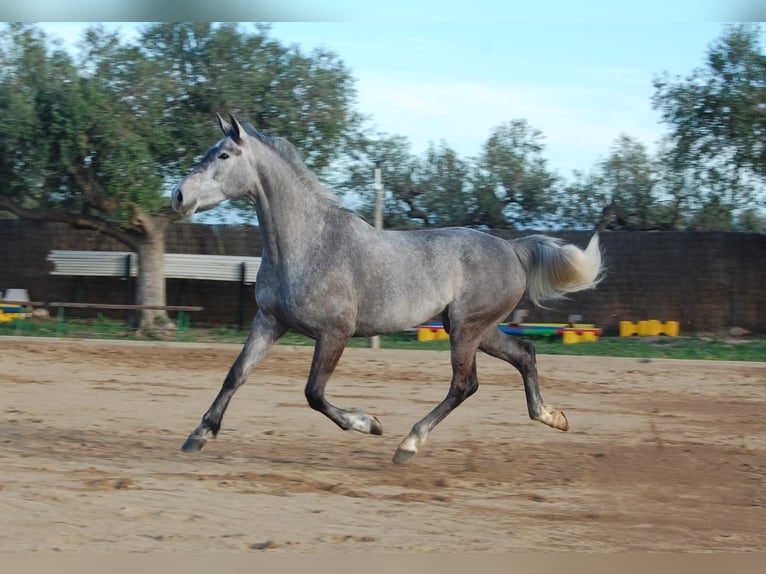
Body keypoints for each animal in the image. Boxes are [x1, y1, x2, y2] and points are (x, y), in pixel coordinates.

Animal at [170, 115, 608, 466]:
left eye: (224, 156)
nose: (178, 195)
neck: (309, 243)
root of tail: (513, 248)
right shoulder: (269, 321)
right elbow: (236, 374)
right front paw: (198, 435)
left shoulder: (335, 333)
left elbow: (314, 393)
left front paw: (370, 423)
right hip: (475, 328)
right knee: (525, 354)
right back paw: (552, 417)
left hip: (467, 329)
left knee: (464, 384)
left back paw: (408, 444)